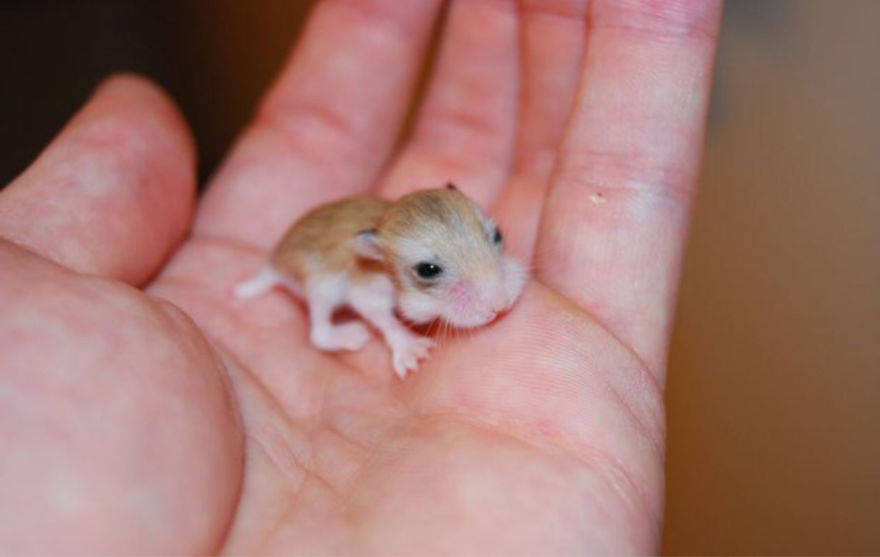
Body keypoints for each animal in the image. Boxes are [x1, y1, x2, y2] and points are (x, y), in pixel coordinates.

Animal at [234, 183, 526, 379]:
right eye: (427, 270)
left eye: (498, 235)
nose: (501, 306)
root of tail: (275, 263)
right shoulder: (366, 291)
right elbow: (383, 318)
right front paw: (414, 352)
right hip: (320, 287)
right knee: (318, 333)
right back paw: (354, 335)